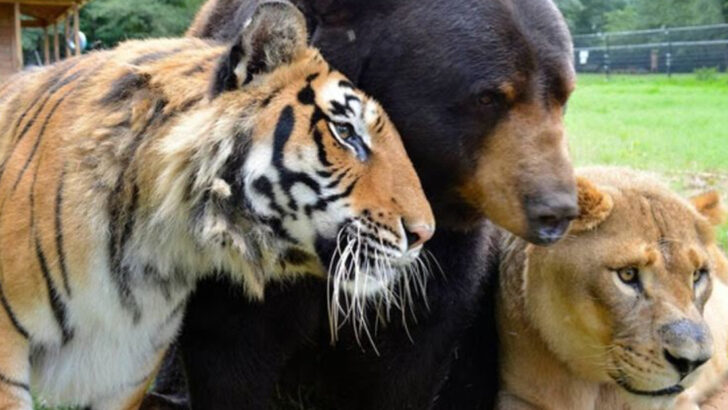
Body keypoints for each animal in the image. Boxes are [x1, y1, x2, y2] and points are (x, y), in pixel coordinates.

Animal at [496, 166, 728, 410]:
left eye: (697, 275)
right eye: (627, 274)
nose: (692, 362)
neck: (597, 389)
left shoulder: (682, 401)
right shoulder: (513, 395)